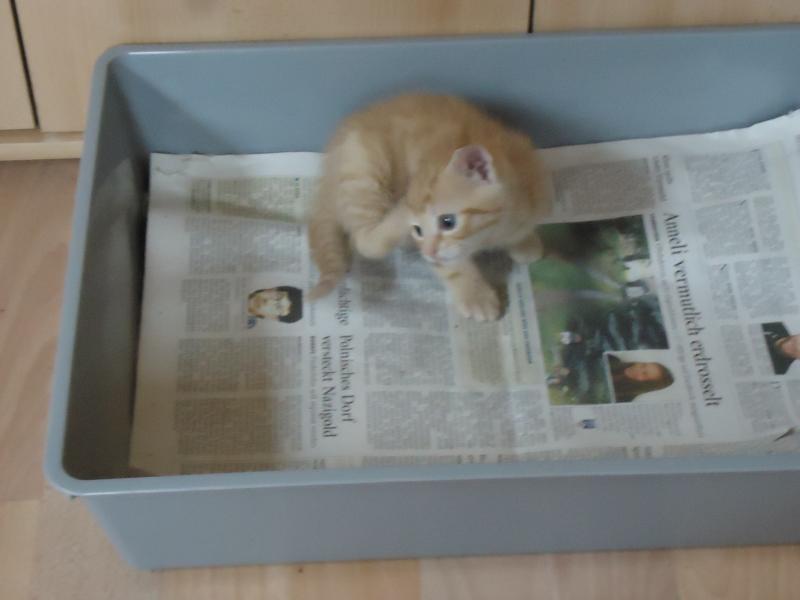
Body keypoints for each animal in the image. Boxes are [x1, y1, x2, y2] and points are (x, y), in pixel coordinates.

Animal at [308, 93, 549, 321]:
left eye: (448, 222)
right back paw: (396, 220)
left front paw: (525, 242)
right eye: (418, 230)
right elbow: (452, 267)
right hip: (363, 170)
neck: (494, 230)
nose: (427, 253)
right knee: (364, 240)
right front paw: (475, 295)